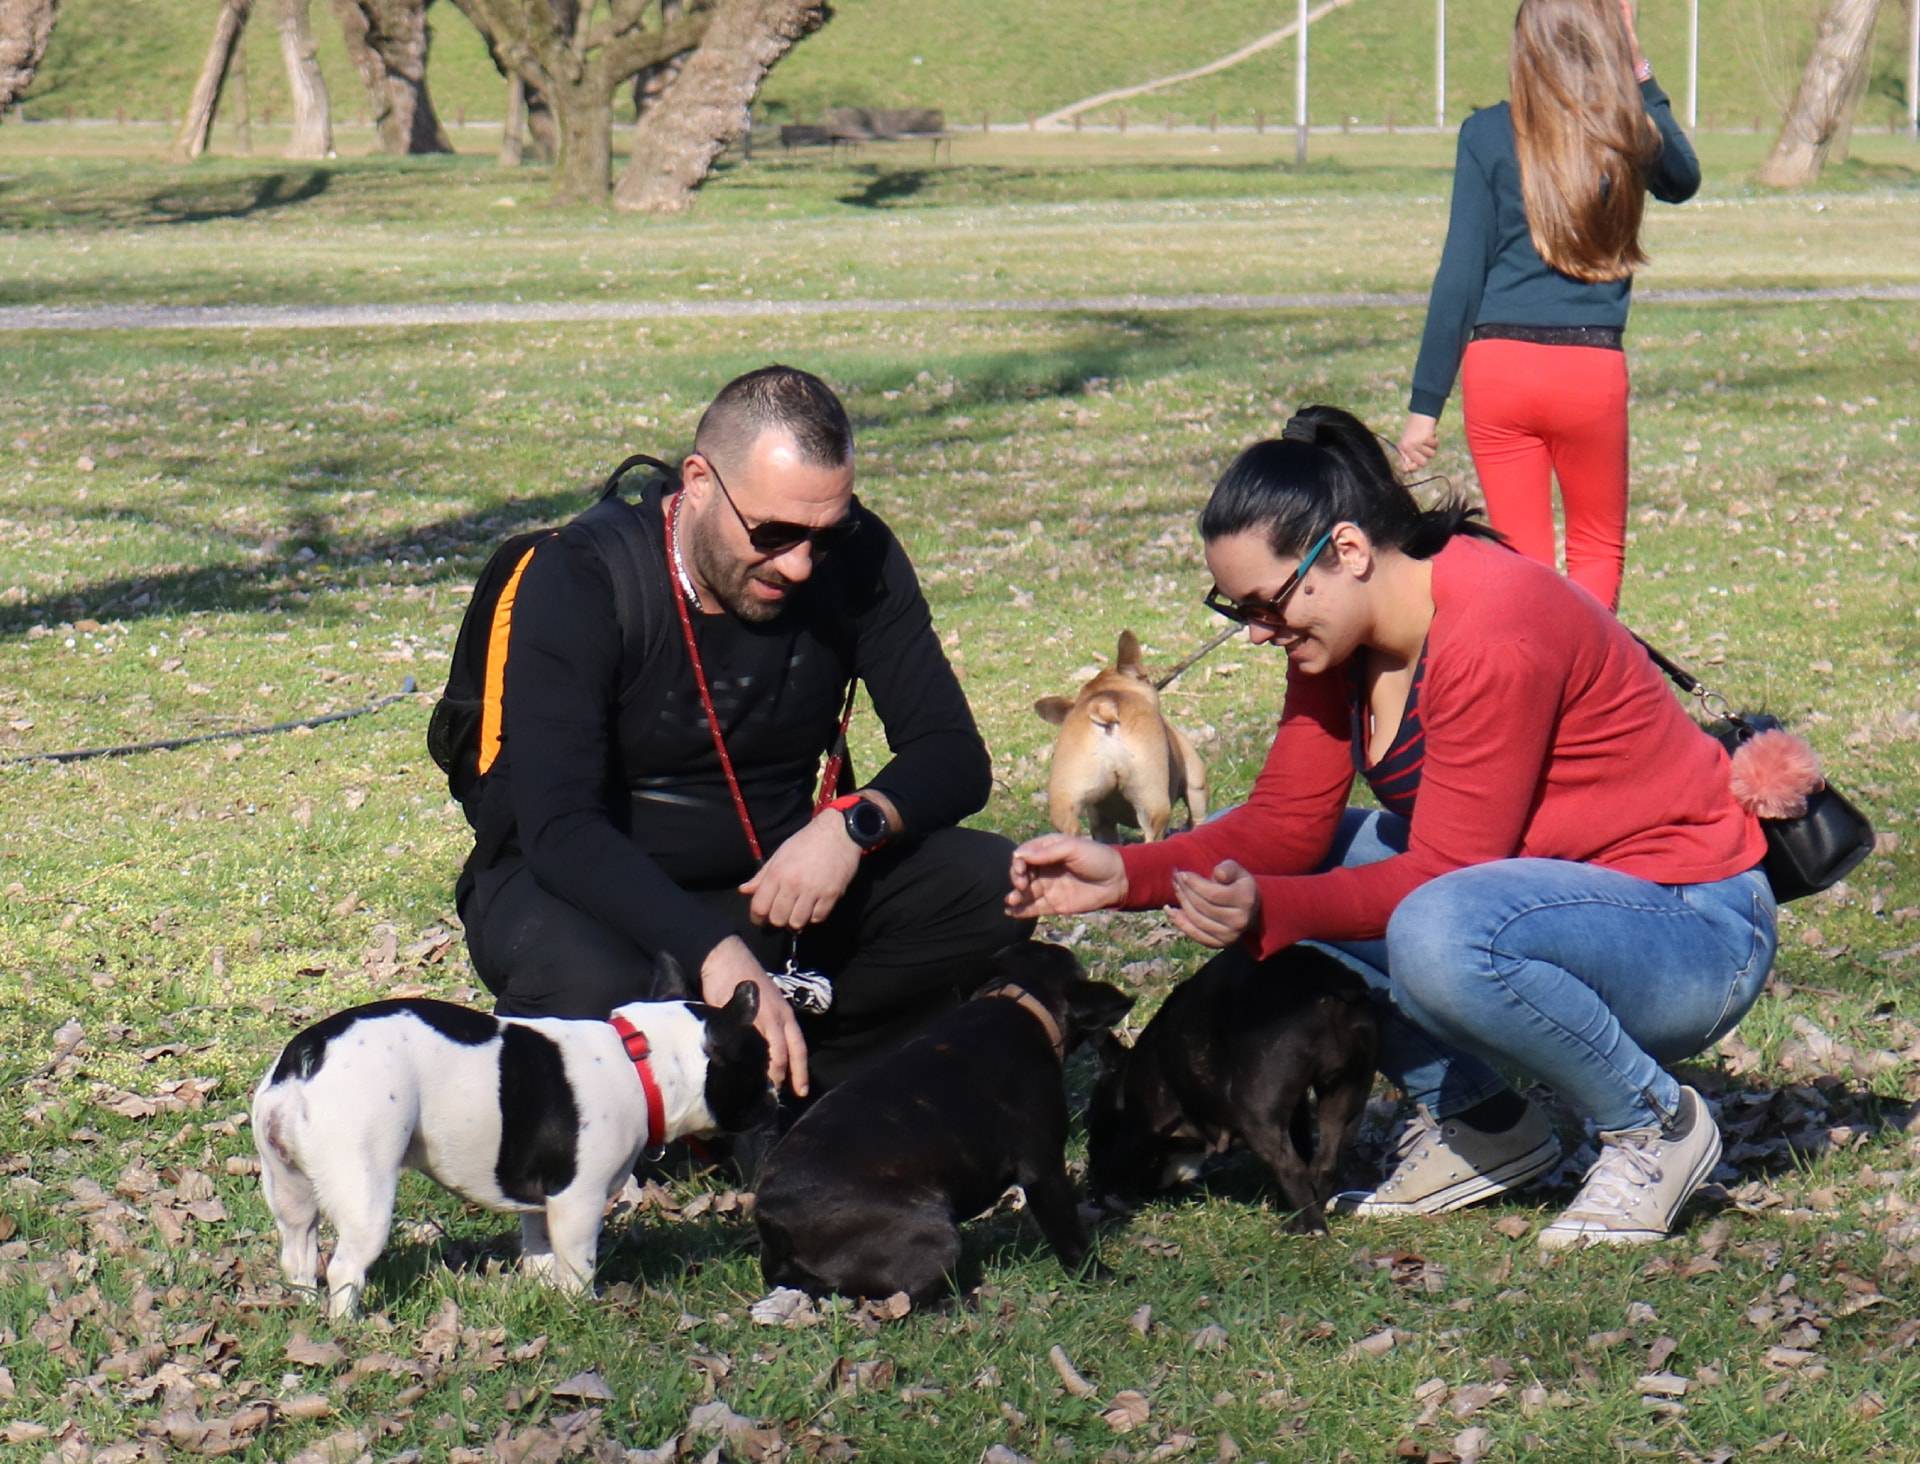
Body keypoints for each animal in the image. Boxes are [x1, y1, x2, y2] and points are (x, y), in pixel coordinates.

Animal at [748, 941, 1128, 1306]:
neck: (1019, 997)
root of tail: (774, 1223)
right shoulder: (1044, 1170)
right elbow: (1068, 1233)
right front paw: (1099, 1273)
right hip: (939, 1235)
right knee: (908, 1298)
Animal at [1090, 941, 1374, 1229]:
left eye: (1093, 1123)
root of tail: (1327, 985)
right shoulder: (1298, 1115)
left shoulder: (1143, 1124)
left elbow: (1118, 1159)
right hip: (1347, 1089)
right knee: (1325, 1162)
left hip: (1258, 1112)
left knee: (1290, 1166)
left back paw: (1310, 1227)